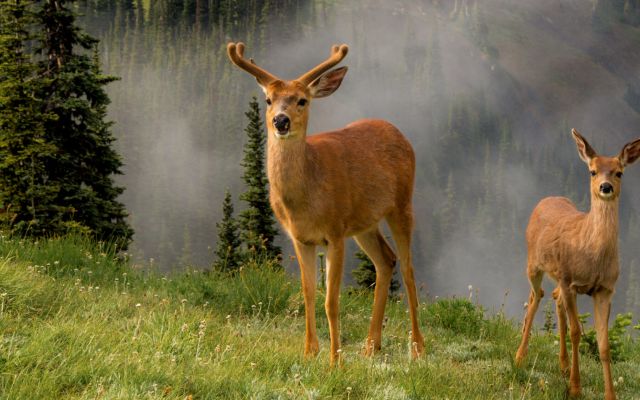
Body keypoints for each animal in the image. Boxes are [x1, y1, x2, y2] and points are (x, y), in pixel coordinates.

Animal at [226, 42, 425, 365]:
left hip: (402, 204)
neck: (305, 199)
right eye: (268, 100)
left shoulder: (335, 232)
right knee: (386, 259)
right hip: (364, 223)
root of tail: (399, 133)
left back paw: (418, 347)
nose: (281, 121)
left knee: (408, 270)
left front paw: (336, 359)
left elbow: (331, 300)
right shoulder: (301, 238)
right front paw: (310, 352)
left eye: (302, 101)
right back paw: (371, 345)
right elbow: (308, 292)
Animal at [515, 129, 640, 400]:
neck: (592, 255)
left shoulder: (604, 289)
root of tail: (546, 199)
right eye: (592, 171)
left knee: (553, 296)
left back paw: (562, 365)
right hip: (533, 264)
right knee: (536, 295)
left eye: (619, 172)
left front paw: (610, 394)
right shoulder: (569, 280)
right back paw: (520, 356)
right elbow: (576, 332)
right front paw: (575, 388)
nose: (606, 187)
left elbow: (603, 344)